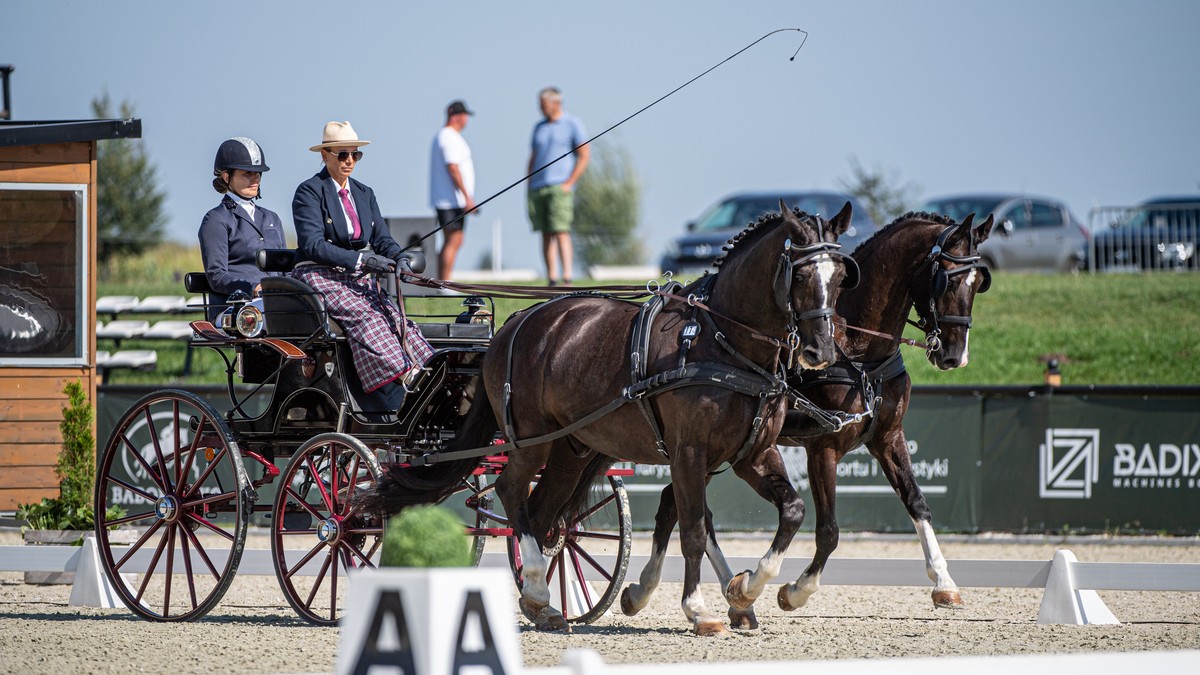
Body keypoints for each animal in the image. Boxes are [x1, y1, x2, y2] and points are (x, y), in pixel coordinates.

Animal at [619, 208, 993, 619]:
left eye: (978, 282)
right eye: (945, 278)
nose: (955, 356)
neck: (857, 351)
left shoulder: (888, 436)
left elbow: (918, 503)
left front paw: (944, 582)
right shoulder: (823, 448)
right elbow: (829, 531)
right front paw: (796, 590)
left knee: (677, 504)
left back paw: (673, 591)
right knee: (682, 508)